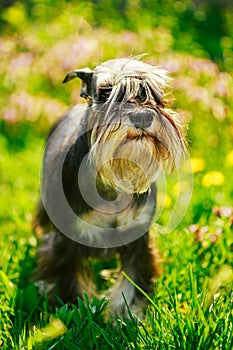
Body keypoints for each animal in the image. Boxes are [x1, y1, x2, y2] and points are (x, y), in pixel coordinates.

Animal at [34, 57, 187, 314]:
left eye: (152, 91)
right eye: (106, 92)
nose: (142, 117)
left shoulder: (137, 238)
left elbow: (132, 283)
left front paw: (128, 315)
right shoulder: (67, 241)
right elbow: (71, 284)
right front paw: (80, 313)